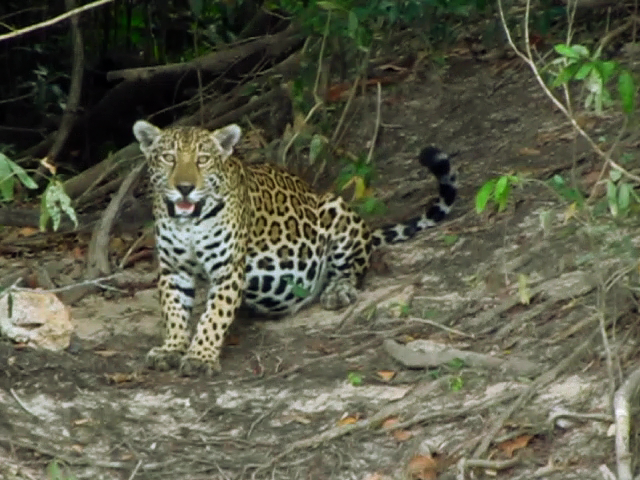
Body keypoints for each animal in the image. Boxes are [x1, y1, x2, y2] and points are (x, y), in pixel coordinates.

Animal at [133, 120, 457, 376]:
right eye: (169, 158)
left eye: (202, 159)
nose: (185, 188)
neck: (188, 222)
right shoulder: (173, 269)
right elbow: (173, 311)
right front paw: (172, 348)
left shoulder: (228, 269)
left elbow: (214, 316)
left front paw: (200, 357)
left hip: (335, 209)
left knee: (354, 267)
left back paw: (338, 290)